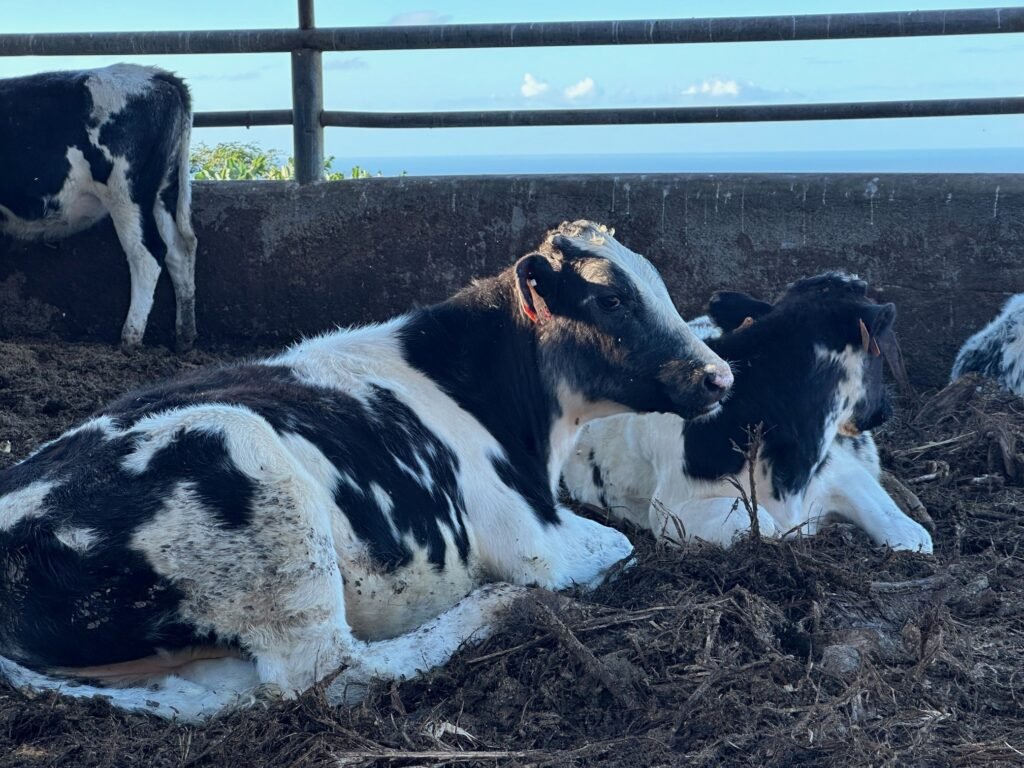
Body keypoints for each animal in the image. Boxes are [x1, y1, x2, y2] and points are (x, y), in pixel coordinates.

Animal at [0, 64, 197, 352]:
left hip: (126, 192)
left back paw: (130, 339)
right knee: (179, 252)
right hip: (164, 193)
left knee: (147, 254)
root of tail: (155, 75)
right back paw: (184, 338)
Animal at [0, 221, 737, 720]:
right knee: (336, 672)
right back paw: (498, 608)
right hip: (255, 484)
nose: (719, 375)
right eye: (610, 300)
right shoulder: (534, 541)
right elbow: (617, 546)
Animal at [565, 274, 933, 557]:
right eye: (881, 353)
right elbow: (763, 526)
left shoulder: (842, 472)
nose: (885, 409)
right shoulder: (672, 511)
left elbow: (911, 536)